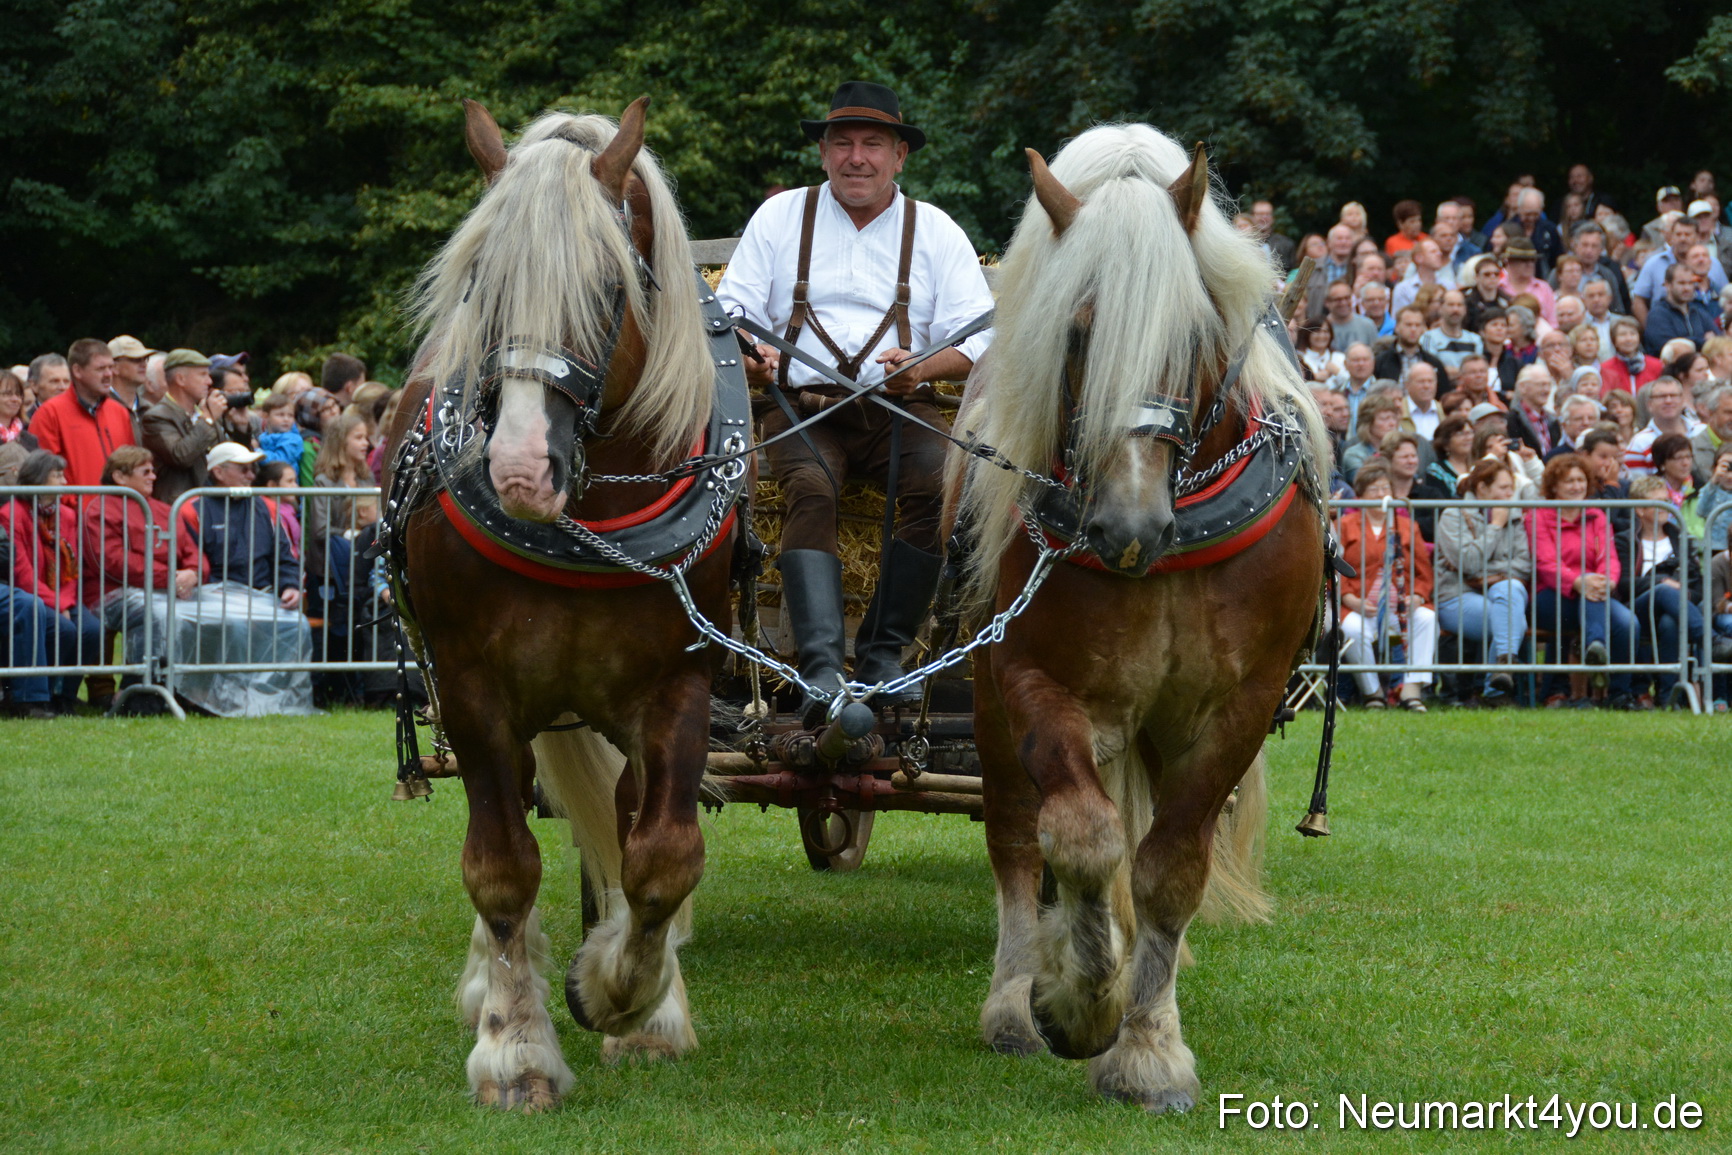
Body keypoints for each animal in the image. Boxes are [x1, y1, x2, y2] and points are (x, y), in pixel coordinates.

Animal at [383, 98, 736, 1110]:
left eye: (608, 286)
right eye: (481, 285)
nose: (517, 469)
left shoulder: (679, 684)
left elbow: (662, 855)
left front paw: (625, 994)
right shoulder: (473, 689)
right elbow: (501, 868)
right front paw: (516, 1048)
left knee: (621, 820)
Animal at [946, 124, 1331, 1111]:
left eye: (1192, 335)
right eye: (1078, 332)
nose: (1127, 524)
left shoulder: (1236, 704)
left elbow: (1169, 865)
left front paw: (1151, 1045)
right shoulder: (1035, 678)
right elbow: (1080, 837)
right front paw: (1076, 1000)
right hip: (986, 693)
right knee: (1017, 831)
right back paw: (1015, 997)